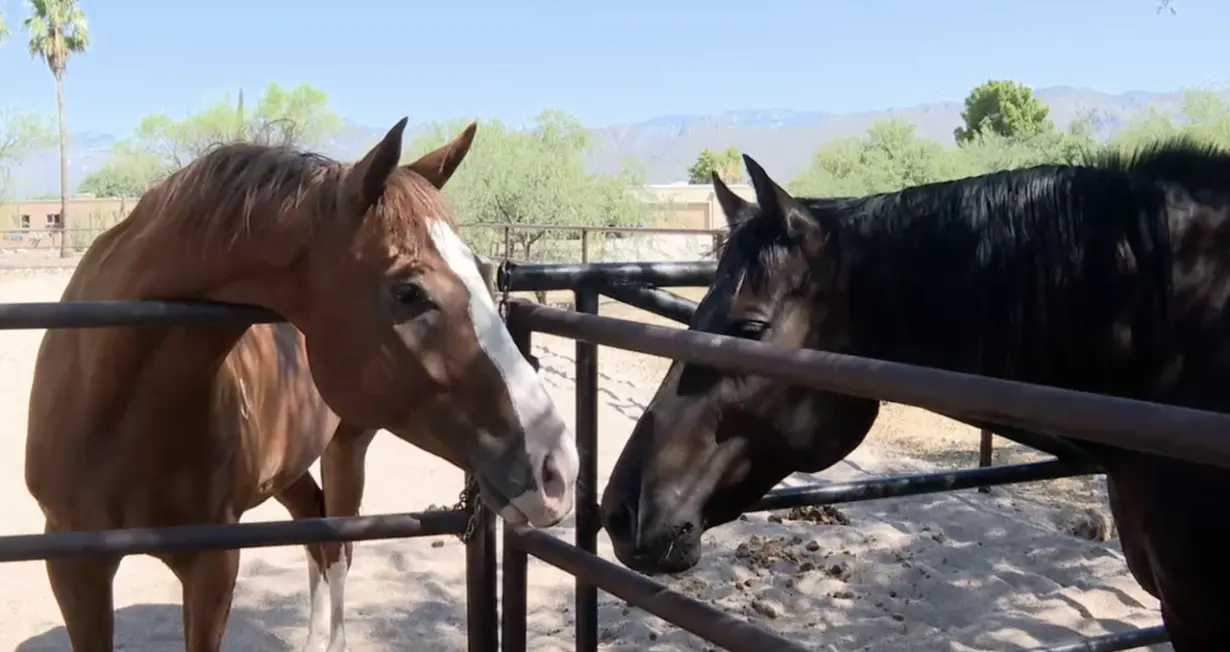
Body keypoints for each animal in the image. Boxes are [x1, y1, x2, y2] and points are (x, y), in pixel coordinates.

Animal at [25, 118, 580, 649]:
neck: (117, 411)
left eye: (485, 274)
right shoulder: (73, 569)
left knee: (337, 545)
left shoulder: (212, 563)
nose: (557, 468)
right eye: (409, 293)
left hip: (346, 449)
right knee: (315, 529)